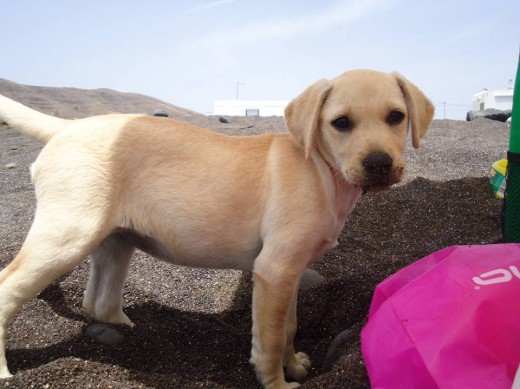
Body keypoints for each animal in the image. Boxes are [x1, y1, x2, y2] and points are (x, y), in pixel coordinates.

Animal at [0, 69, 432, 384]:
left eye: (396, 117)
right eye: (341, 123)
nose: (378, 164)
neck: (321, 171)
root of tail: (66, 128)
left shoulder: (288, 274)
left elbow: (288, 327)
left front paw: (295, 366)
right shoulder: (274, 271)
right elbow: (270, 340)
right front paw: (277, 382)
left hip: (115, 240)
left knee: (98, 304)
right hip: (67, 236)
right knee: (9, 289)